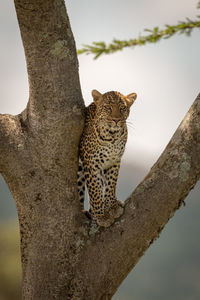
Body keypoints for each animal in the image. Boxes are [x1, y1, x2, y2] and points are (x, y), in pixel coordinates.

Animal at [77, 89, 137, 227]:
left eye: (122, 108)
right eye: (108, 108)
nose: (116, 120)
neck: (112, 137)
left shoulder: (114, 161)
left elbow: (110, 184)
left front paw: (112, 206)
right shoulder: (91, 163)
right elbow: (95, 190)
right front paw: (101, 216)